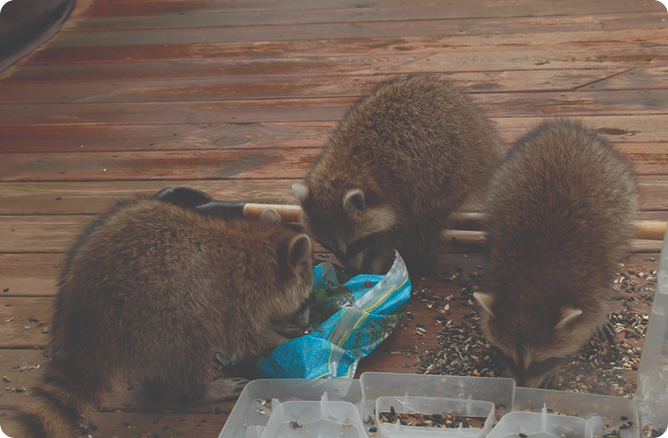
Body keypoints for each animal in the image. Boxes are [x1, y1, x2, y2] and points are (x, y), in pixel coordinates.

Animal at [17, 198, 313, 438]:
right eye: (306, 297)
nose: (306, 321)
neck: (256, 247)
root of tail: (81, 321)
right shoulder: (236, 298)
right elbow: (246, 337)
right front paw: (281, 337)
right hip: (155, 318)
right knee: (187, 354)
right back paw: (199, 391)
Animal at [293, 75, 501, 274]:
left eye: (354, 244)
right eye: (328, 246)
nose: (352, 271)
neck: (344, 169)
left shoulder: (397, 186)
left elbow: (394, 230)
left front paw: (380, 257)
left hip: (448, 171)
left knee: (425, 217)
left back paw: (420, 262)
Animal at [474, 119, 638, 388]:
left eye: (541, 362)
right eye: (506, 355)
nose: (520, 390)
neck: (531, 288)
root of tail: (562, 127)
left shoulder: (589, 283)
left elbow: (590, 314)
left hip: (622, 192)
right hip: (502, 176)